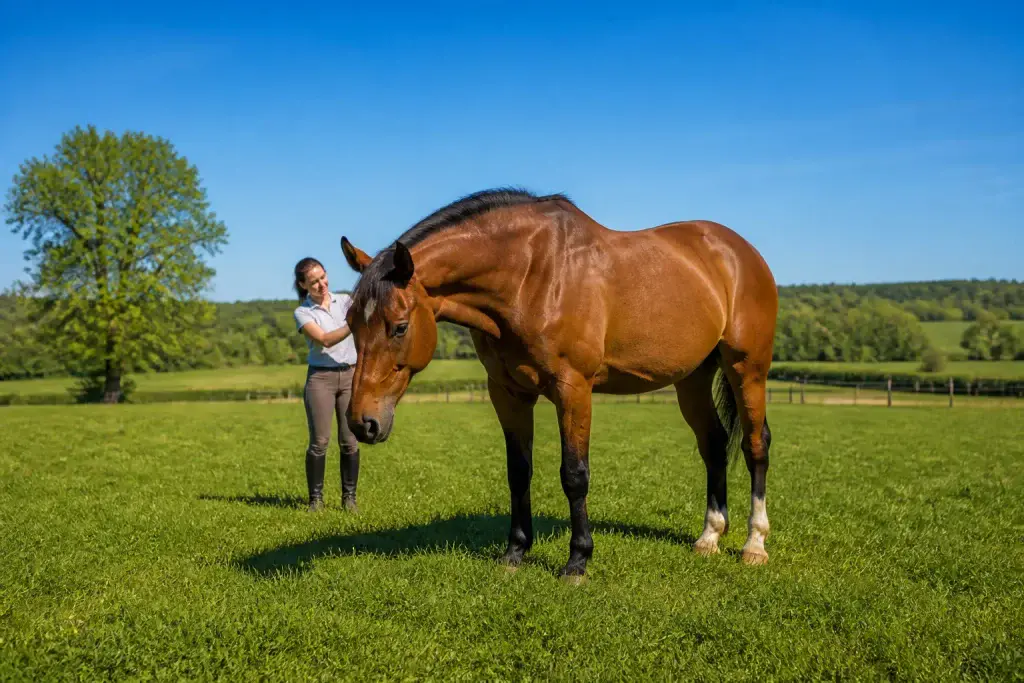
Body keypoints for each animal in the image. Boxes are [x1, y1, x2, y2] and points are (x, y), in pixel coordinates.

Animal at [339, 188, 778, 580]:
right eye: (350, 323)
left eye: (399, 327)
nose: (363, 423)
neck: (531, 276)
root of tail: (741, 253)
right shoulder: (509, 393)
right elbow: (518, 471)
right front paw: (515, 552)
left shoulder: (574, 389)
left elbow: (574, 475)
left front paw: (578, 561)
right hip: (692, 379)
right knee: (714, 444)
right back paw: (709, 537)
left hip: (747, 369)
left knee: (755, 445)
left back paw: (754, 544)